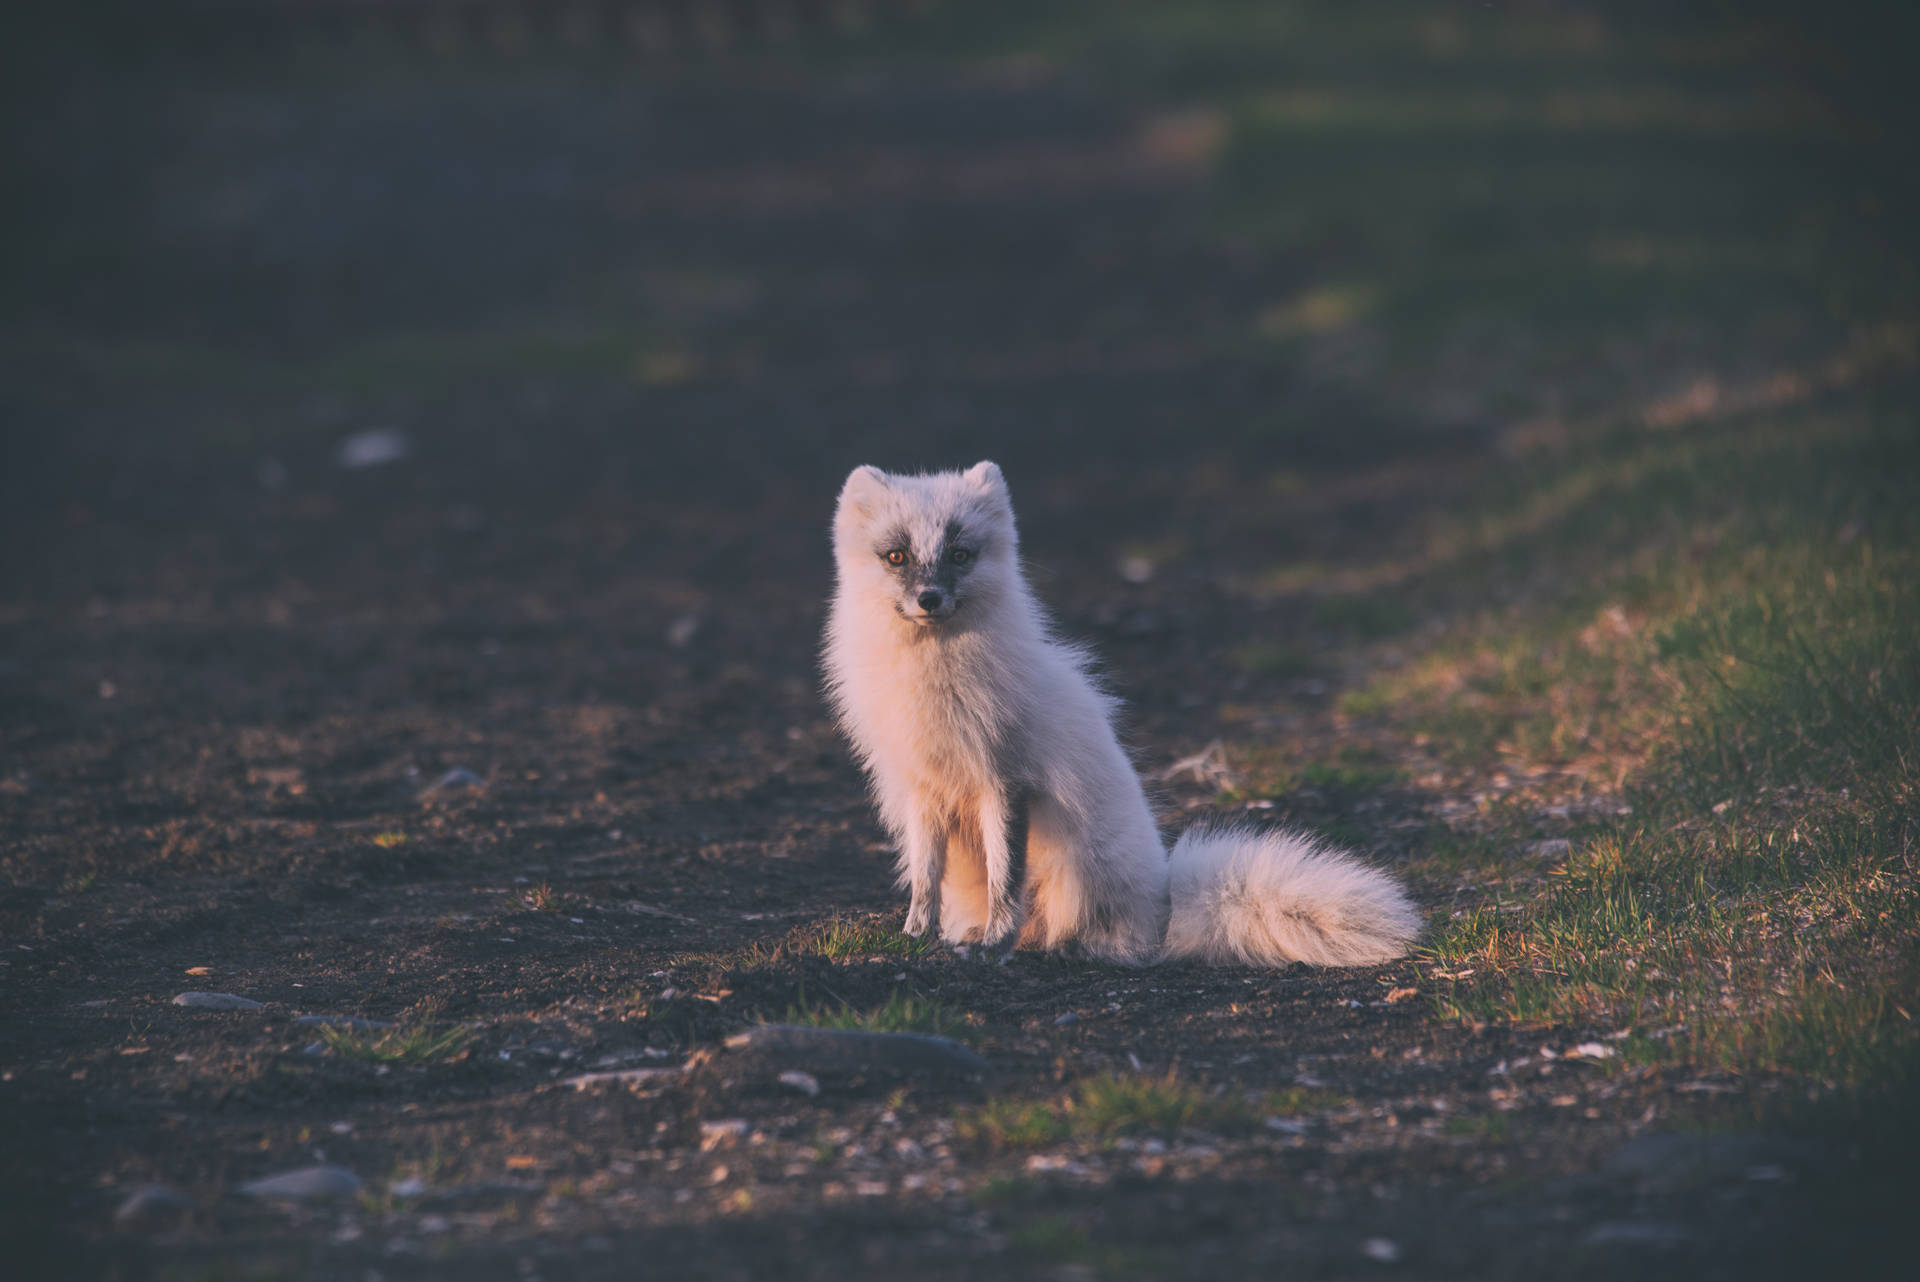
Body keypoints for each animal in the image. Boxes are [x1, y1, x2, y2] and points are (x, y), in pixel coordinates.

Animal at [822, 460, 1420, 967]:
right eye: (897, 556)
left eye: (960, 555)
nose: (929, 599)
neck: (930, 682)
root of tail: (1165, 906)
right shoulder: (922, 789)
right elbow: (925, 879)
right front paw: (915, 936)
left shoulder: (1005, 780)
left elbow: (1004, 881)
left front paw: (995, 945)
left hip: (1077, 871)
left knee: (1098, 938)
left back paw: (1063, 947)